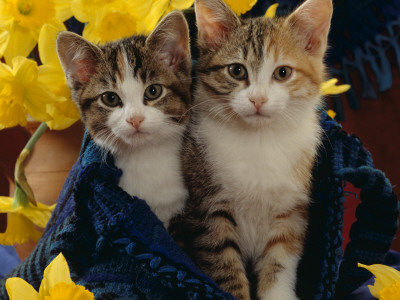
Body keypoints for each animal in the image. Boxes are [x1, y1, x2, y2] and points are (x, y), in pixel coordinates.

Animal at [170, 0, 334, 298]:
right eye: (237, 71)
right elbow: (222, 260)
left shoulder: (290, 208)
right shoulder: (208, 205)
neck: (259, 140)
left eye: (283, 73)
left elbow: (281, 257)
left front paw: (278, 292)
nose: (258, 99)